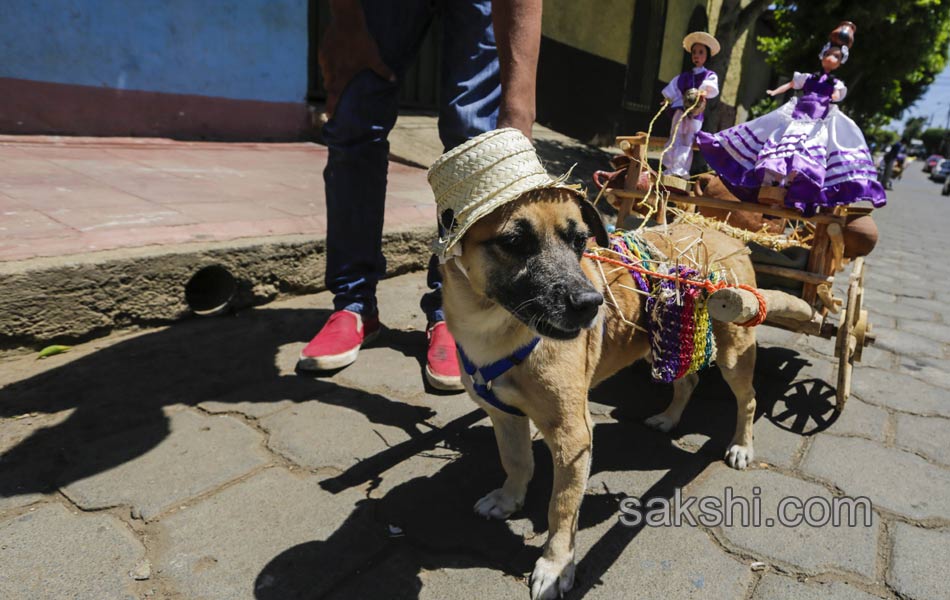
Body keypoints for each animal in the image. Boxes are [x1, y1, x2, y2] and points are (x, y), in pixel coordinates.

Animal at [440, 189, 760, 600]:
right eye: (514, 242)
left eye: (580, 241)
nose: (591, 303)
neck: (494, 328)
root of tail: (726, 234)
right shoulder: (505, 415)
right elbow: (516, 462)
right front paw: (509, 499)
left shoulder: (573, 435)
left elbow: (561, 507)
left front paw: (556, 566)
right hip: (663, 345)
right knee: (686, 382)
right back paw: (668, 418)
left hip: (734, 352)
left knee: (748, 399)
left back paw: (741, 446)